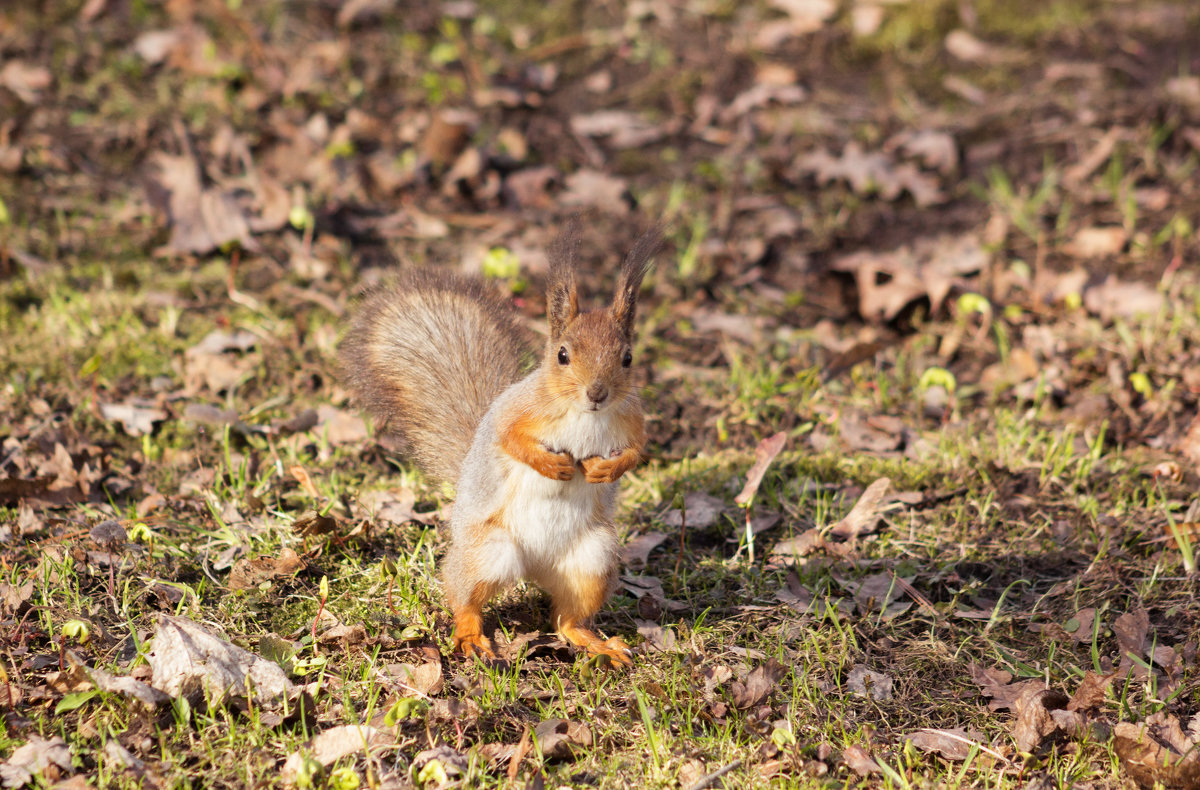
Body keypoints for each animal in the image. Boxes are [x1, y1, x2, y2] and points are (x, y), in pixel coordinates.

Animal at [338, 220, 662, 662]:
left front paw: (606, 469)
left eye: (627, 358)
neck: (586, 415)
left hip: (591, 561)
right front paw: (553, 465)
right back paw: (471, 635)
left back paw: (596, 643)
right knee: (463, 597)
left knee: (566, 620)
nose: (597, 393)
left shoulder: (633, 420)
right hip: (488, 552)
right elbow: (511, 439)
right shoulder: (515, 411)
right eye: (562, 355)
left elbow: (635, 452)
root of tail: (536, 568)